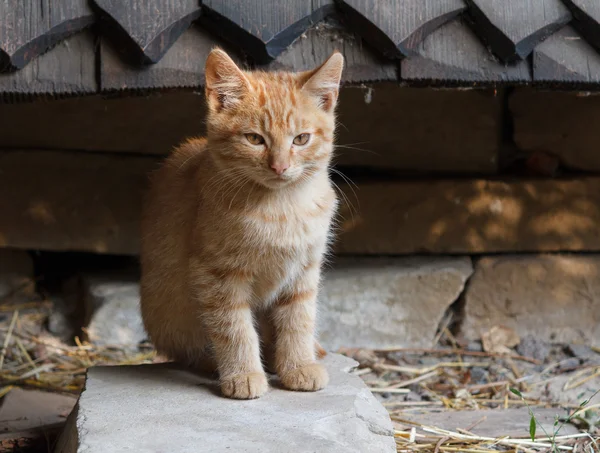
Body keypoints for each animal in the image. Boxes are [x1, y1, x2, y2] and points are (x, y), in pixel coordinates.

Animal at [141, 47, 344, 398]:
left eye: (301, 139)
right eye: (254, 139)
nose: (280, 167)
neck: (281, 209)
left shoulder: (305, 271)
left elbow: (299, 319)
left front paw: (298, 365)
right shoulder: (217, 275)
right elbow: (234, 328)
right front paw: (244, 374)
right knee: (187, 350)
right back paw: (213, 363)